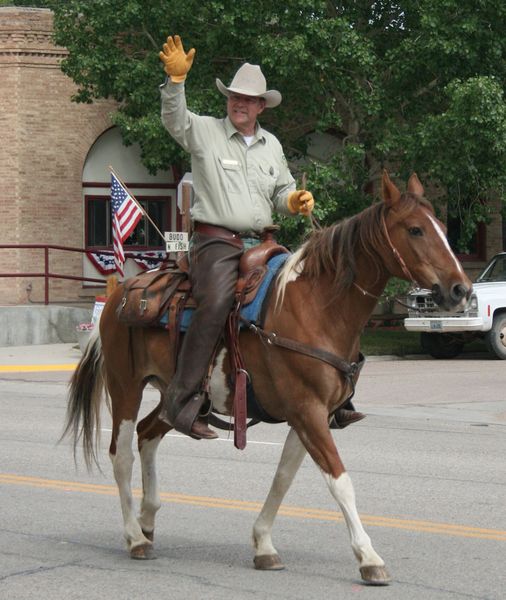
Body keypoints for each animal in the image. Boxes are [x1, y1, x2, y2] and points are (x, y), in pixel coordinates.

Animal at [62, 172, 470, 584]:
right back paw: (134, 536)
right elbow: (340, 482)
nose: (461, 290)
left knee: (147, 435)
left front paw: (263, 545)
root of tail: (118, 297)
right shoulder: (307, 411)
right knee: (122, 454)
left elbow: (283, 477)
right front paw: (369, 557)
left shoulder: (312, 415)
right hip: (125, 386)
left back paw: (147, 520)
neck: (317, 309)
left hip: (173, 397)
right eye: (415, 229)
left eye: (442, 227)